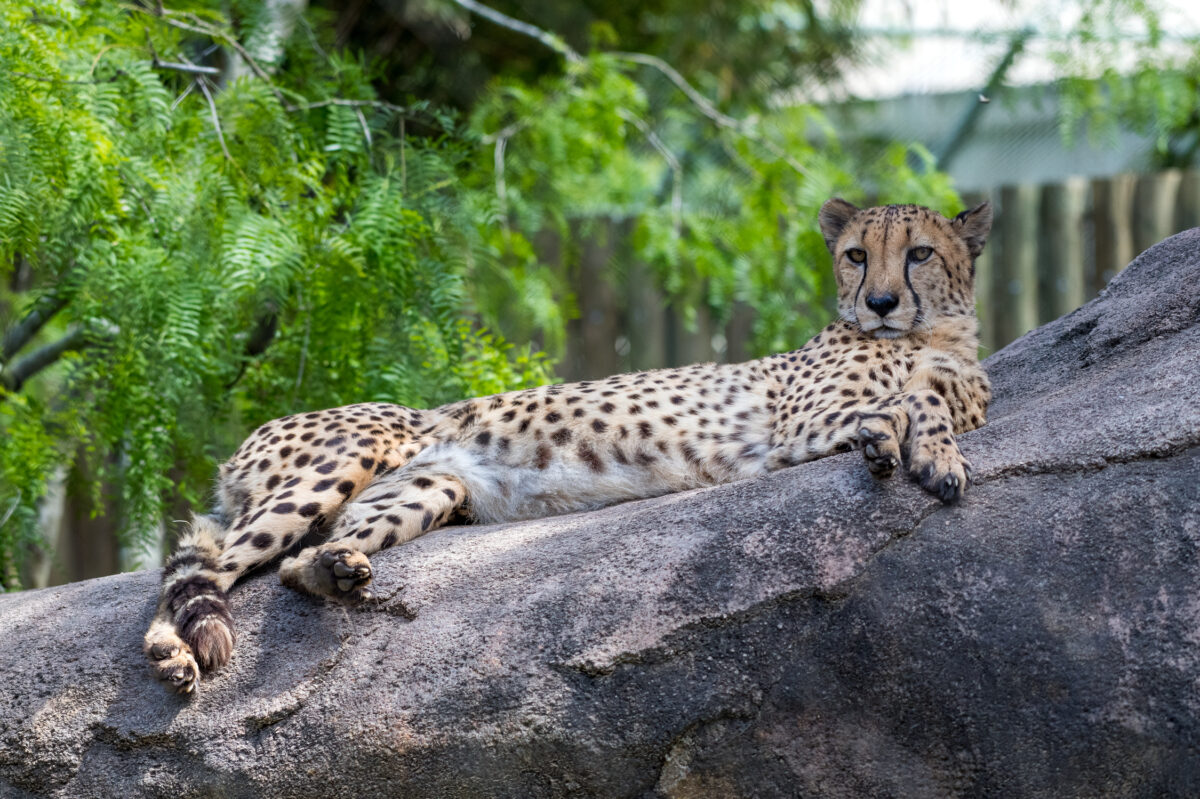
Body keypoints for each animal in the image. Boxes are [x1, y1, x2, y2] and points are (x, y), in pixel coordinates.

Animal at [145, 198, 993, 694]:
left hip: (430, 487)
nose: (879, 301)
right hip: (346, 458)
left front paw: (918, 444)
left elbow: (935, 395)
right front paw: (926, 450)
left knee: (291, 566)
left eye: (919, 252)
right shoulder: (797, 421)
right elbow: (912, 396)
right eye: (856, 253)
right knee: (201, 574)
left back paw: (331, 570)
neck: (931, 332)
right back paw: (174, 652)